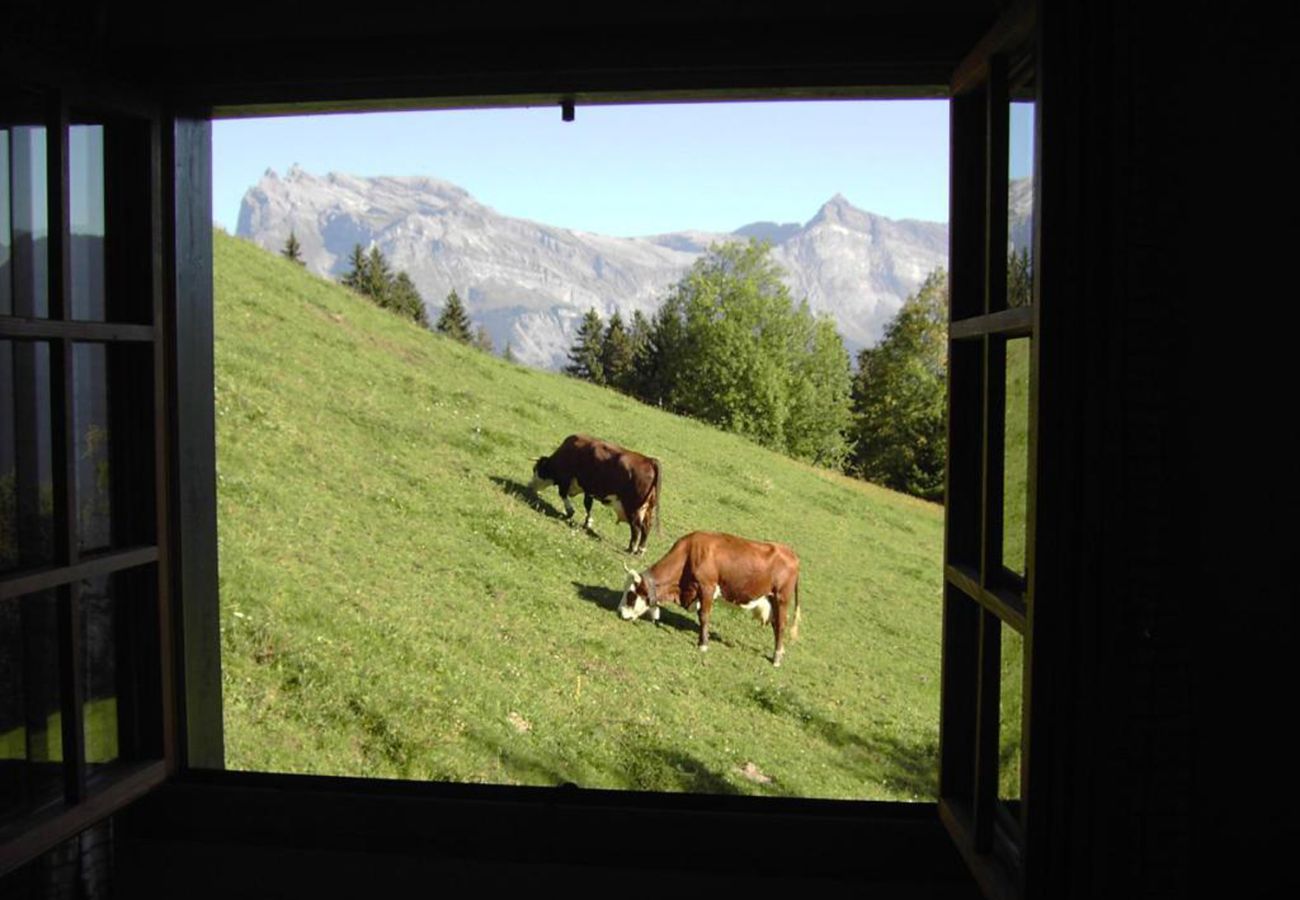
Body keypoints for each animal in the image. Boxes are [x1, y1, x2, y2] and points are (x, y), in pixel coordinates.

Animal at [525, 431, 660, 551]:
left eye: (535, 469)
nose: (529, 486)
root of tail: (650, 460)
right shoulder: (588, 489)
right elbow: (588, 505)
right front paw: (588, 522)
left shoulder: (566, 479)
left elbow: (563, 494)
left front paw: (570, 511)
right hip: (647, 510)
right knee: (646, 527)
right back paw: (641, 549)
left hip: (632, 508)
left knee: (636, 528)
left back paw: (632, 548)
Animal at [616, 530, 795, 663]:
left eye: (631, 594)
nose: (619, 612)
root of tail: (789, 553)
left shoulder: (707, 588)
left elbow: (704, 616)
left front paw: (703, 644)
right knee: (776, 624)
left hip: (781, 599)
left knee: (780, 626)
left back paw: (776, 658)